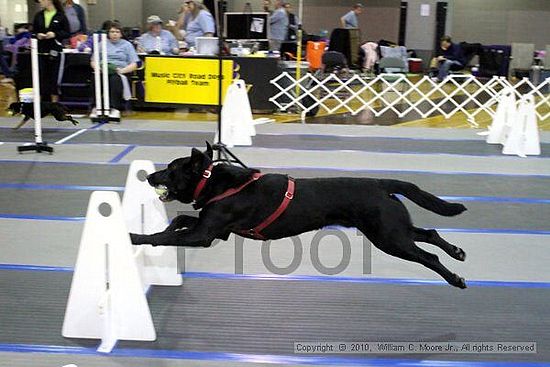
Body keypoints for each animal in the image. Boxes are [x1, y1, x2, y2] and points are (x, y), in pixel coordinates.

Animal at [133, 144, 470, 290]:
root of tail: (380, 183)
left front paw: (134, 236)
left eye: (170, 170)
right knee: (428, 233)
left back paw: (455, 278)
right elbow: (179, 222)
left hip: (389, 237)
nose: (148, 176)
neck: (213, 182)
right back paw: (457, 251)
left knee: (428, 256)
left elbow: (162, 236)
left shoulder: (205, 235)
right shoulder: (213, 229)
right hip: (391, 229)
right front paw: (167, 226)